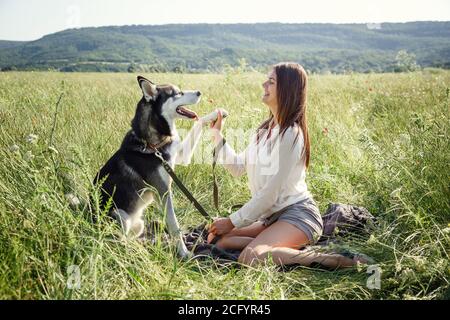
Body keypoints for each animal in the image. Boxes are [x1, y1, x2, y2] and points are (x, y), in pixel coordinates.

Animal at [93, 75, 225, 258]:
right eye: (177, 93)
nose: (199, 92)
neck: (152, 145)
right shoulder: (163, 191)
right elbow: (174, 225)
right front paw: (184, 253)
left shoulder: (180, 155)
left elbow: (197, 124)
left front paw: (217, 114)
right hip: (119, 215)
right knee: (117, 243)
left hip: (137, 224)